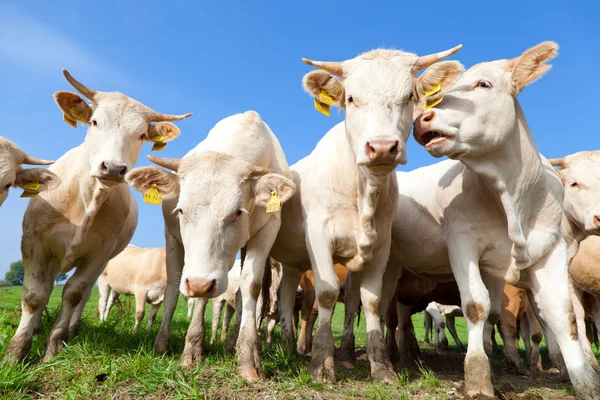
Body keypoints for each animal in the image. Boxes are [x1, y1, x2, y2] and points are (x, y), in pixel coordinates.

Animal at [2, 70, 190, 364]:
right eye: (94, 121)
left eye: (141, 134)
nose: (112, 168)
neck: (85, 200)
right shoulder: (34, 243)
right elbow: (34, 296)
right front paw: (16, 351)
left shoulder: (100, 254)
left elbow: (74, 294)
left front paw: (54, 345)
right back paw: (35, 327)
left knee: (84, 293)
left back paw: (71, 329)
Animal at [126, 111, 296, 376]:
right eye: (181, 210)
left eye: (238, 212)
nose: (199, 283)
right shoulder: (184, 250)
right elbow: (191, 295)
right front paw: (192, 350)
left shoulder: (266, 232)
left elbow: (250, 287)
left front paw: (247, 357)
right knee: (174, 287)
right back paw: (162, 341)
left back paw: (232, 343)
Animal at [268, 44, 464, 384]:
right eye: (350, 98)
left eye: (409, 97)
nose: (382, 147)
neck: (363, 192)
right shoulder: (319, 237)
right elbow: (328, 293)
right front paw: (322, 363)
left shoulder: (381, 246)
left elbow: (371, 300)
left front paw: (381, 366)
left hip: (294, 261)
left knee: (289, 294)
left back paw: (294, 348)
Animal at [340, 42, 596, 398]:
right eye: (438, 95)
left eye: (483, 84)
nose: (423, 118)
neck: (511, 197)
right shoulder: (462, 242)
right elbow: (476, 306)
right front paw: (477, 378)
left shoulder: (549, 251)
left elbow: (560, 316)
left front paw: (584, 380)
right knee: (360, 302)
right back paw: (355, 355)